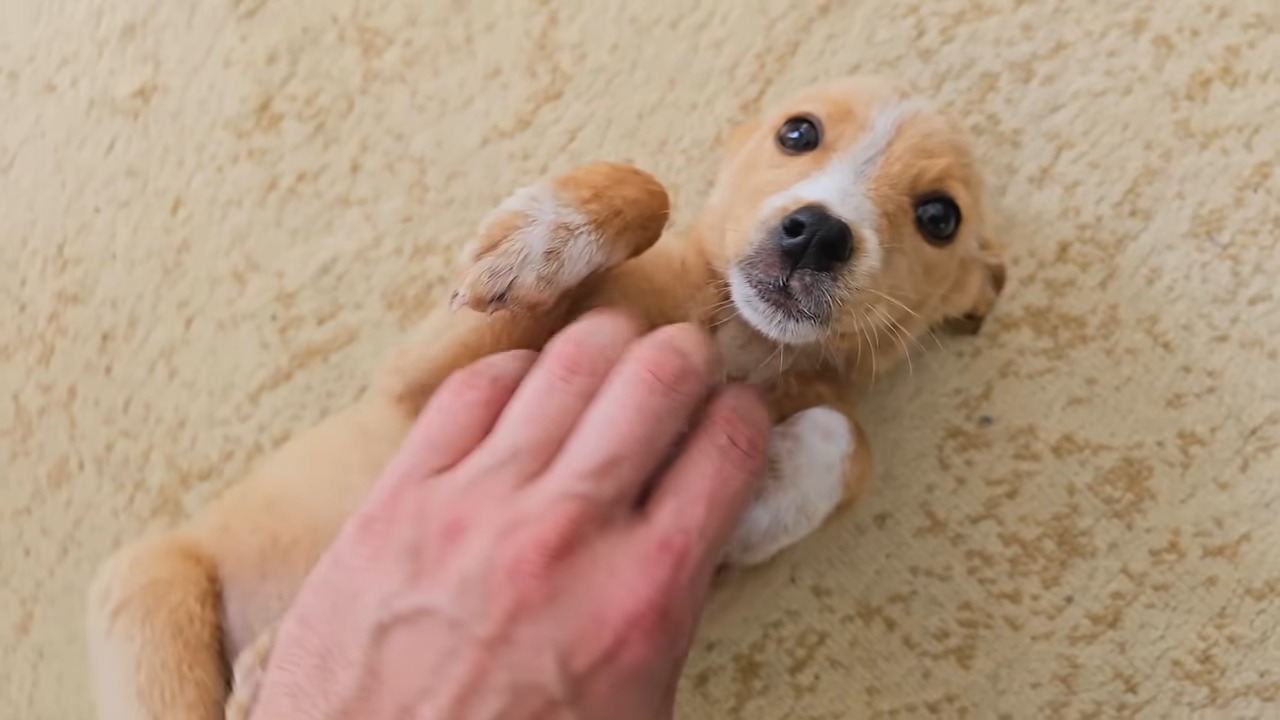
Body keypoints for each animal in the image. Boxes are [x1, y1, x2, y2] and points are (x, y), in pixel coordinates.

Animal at [87, 75, 1008, 712]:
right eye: (798, 132)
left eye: (939, 216)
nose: (816, 232)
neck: (737, 334)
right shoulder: (422, 383)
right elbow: (647, 189)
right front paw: (544, 235)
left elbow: (850, 440)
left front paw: (768, 486)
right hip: (153, 603)